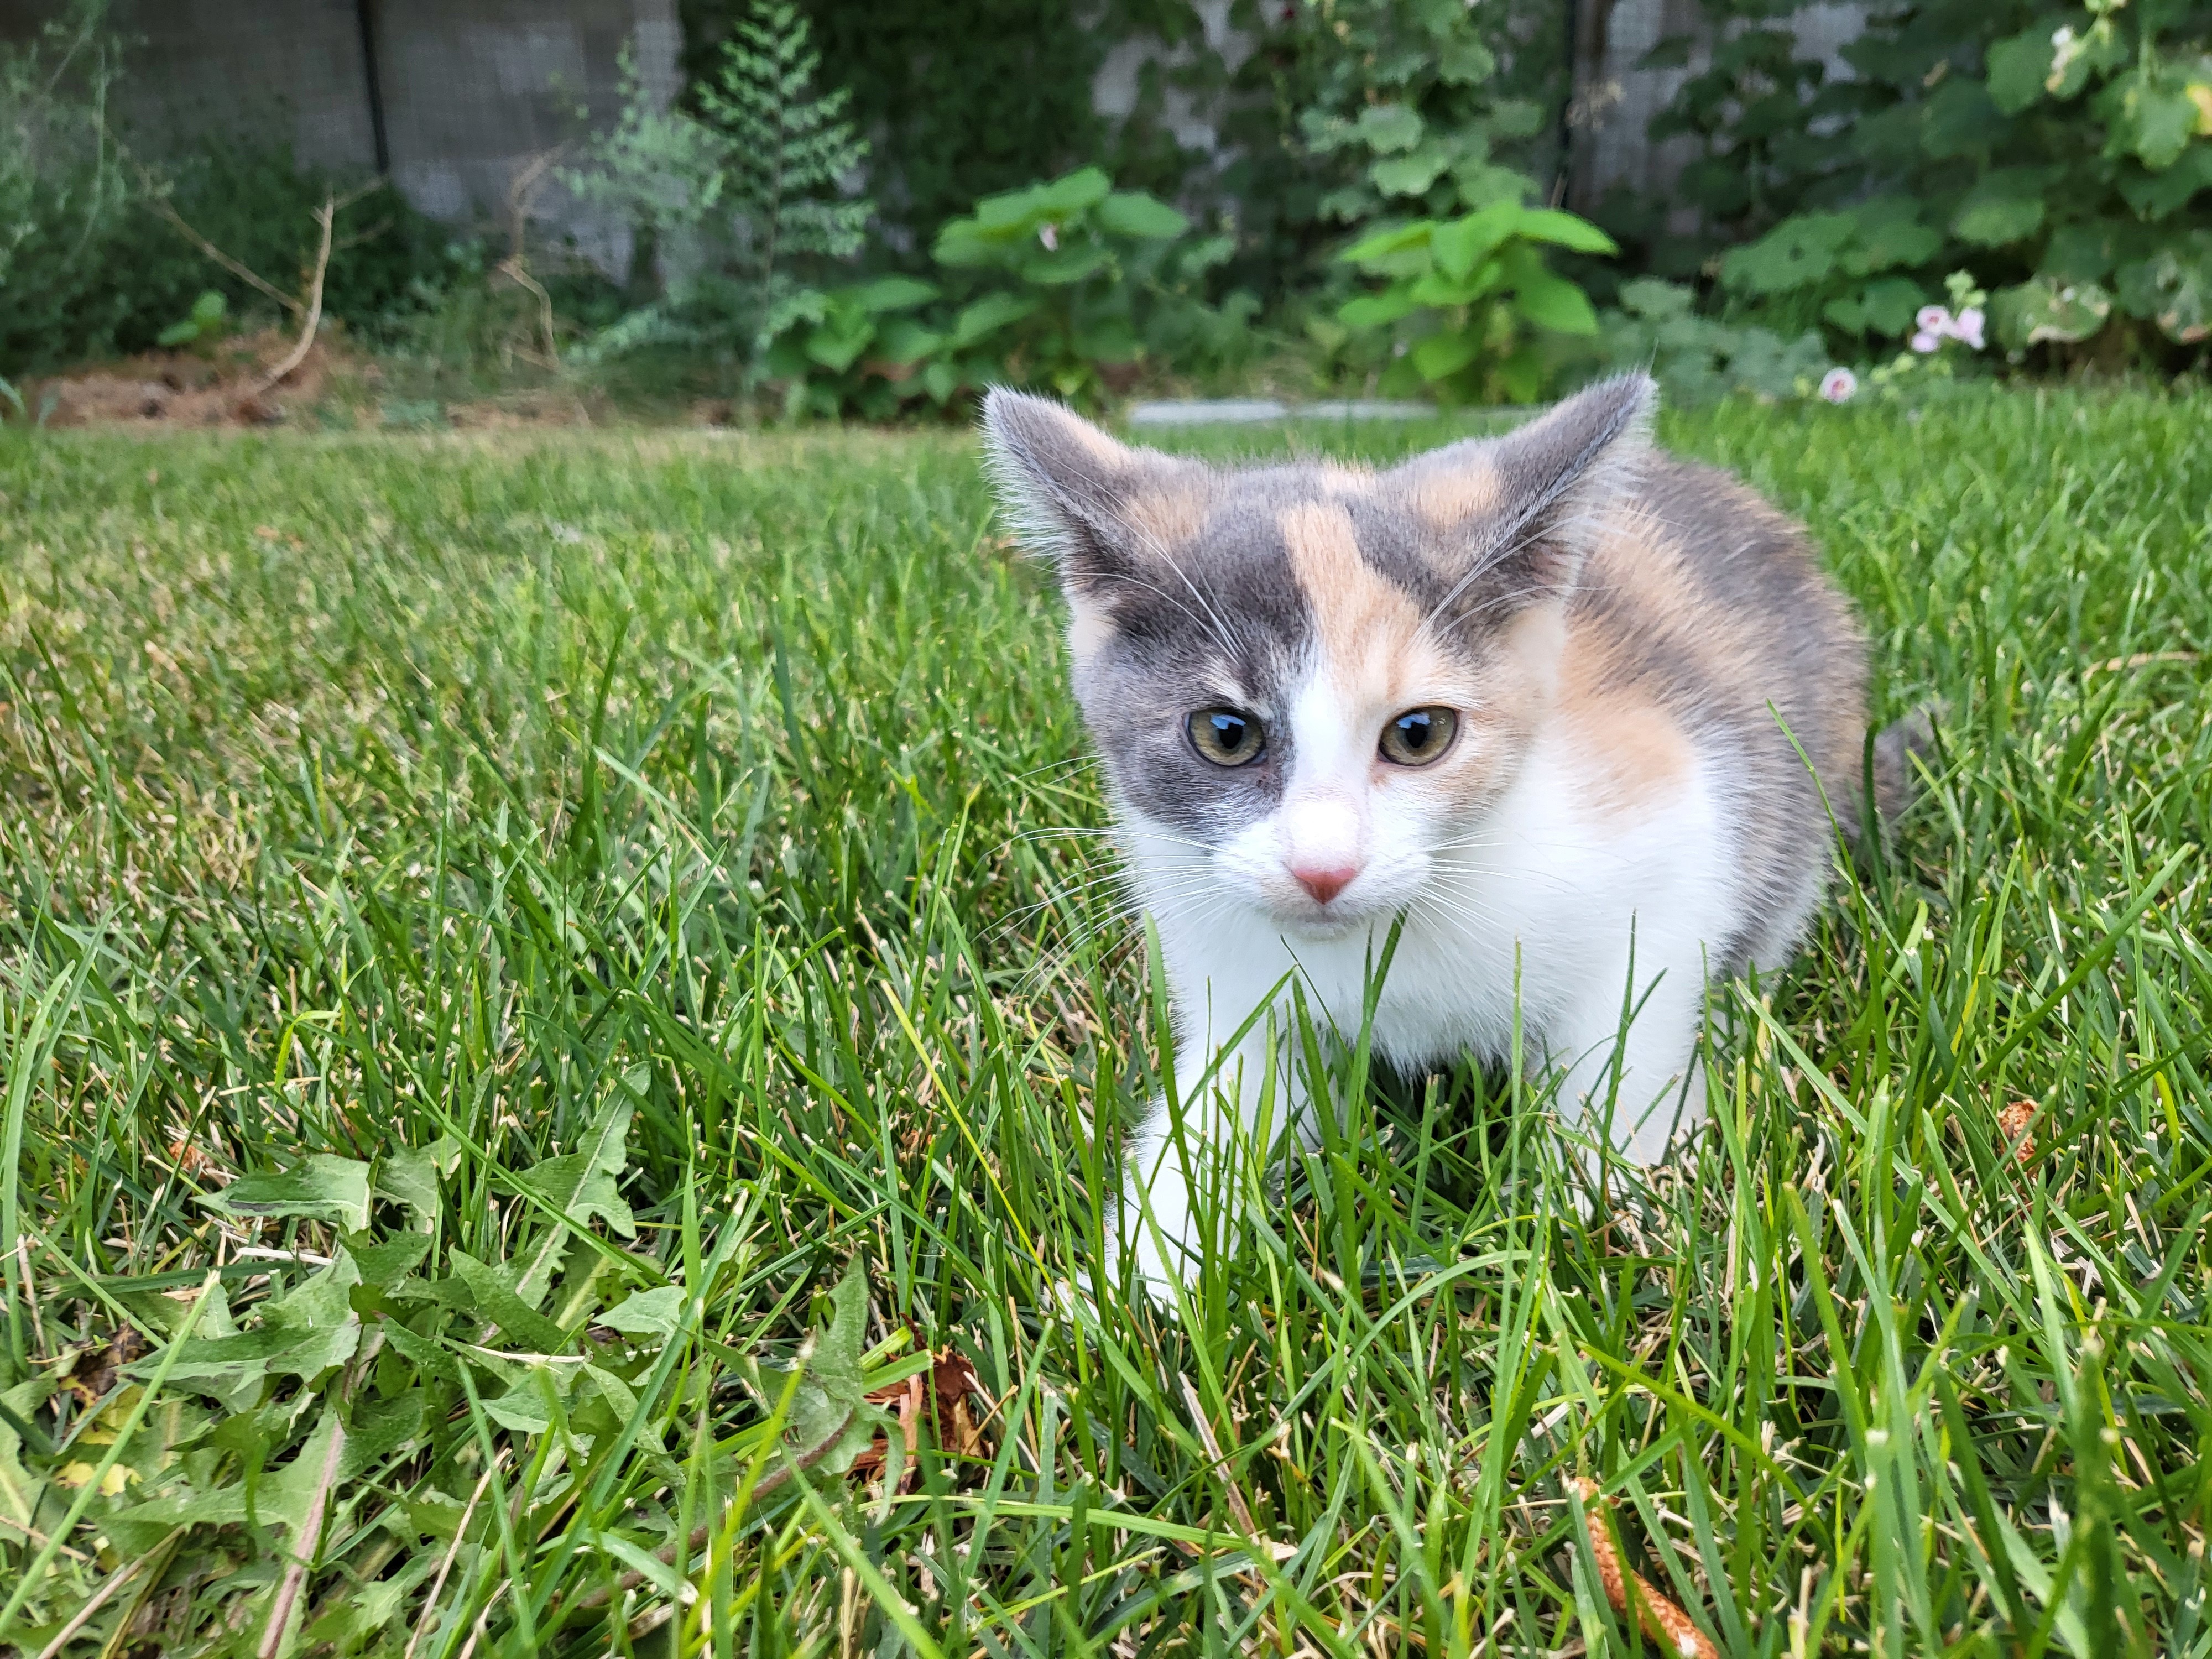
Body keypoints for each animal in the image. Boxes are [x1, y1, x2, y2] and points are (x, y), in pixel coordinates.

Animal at [987, 380, 1902, 1301]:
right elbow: (1213, 1115)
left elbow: (1627, 1040)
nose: (1324, 868)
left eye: (1419, 734)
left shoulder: (1675, 827)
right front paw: (1125, 1288)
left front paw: (1605, 1232)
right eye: (1224, 733)